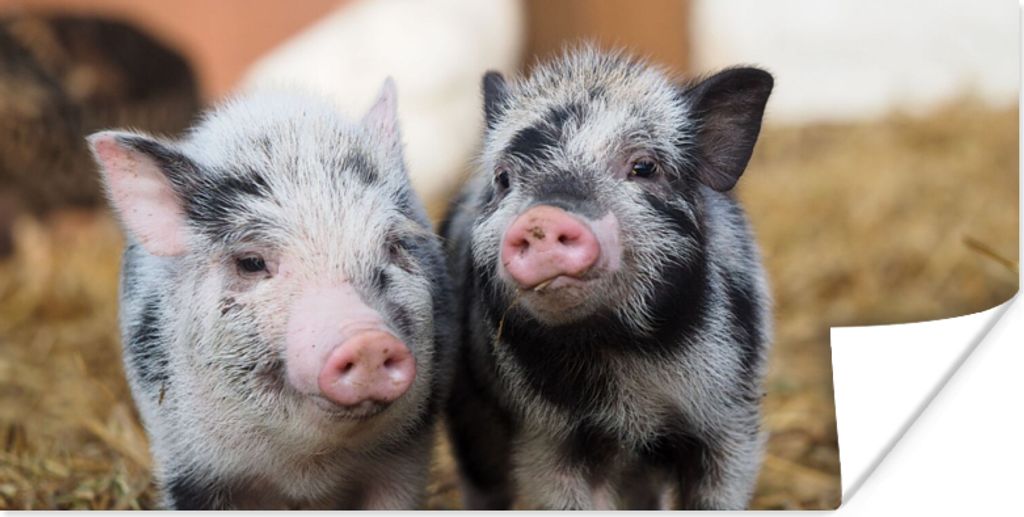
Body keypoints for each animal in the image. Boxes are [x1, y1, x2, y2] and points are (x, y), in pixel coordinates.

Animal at [88, 79, 454, 509]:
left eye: (394, 245)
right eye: (251, 262)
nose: (367, 340)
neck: (307, 472)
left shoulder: (406, 456)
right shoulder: (188, 466)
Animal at [442, 47, 774, 510]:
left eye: (644, 166)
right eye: (504, 178)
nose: (543, 219)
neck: (619, 350)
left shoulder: (730, 419)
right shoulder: (546, 438)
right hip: (470, 411)